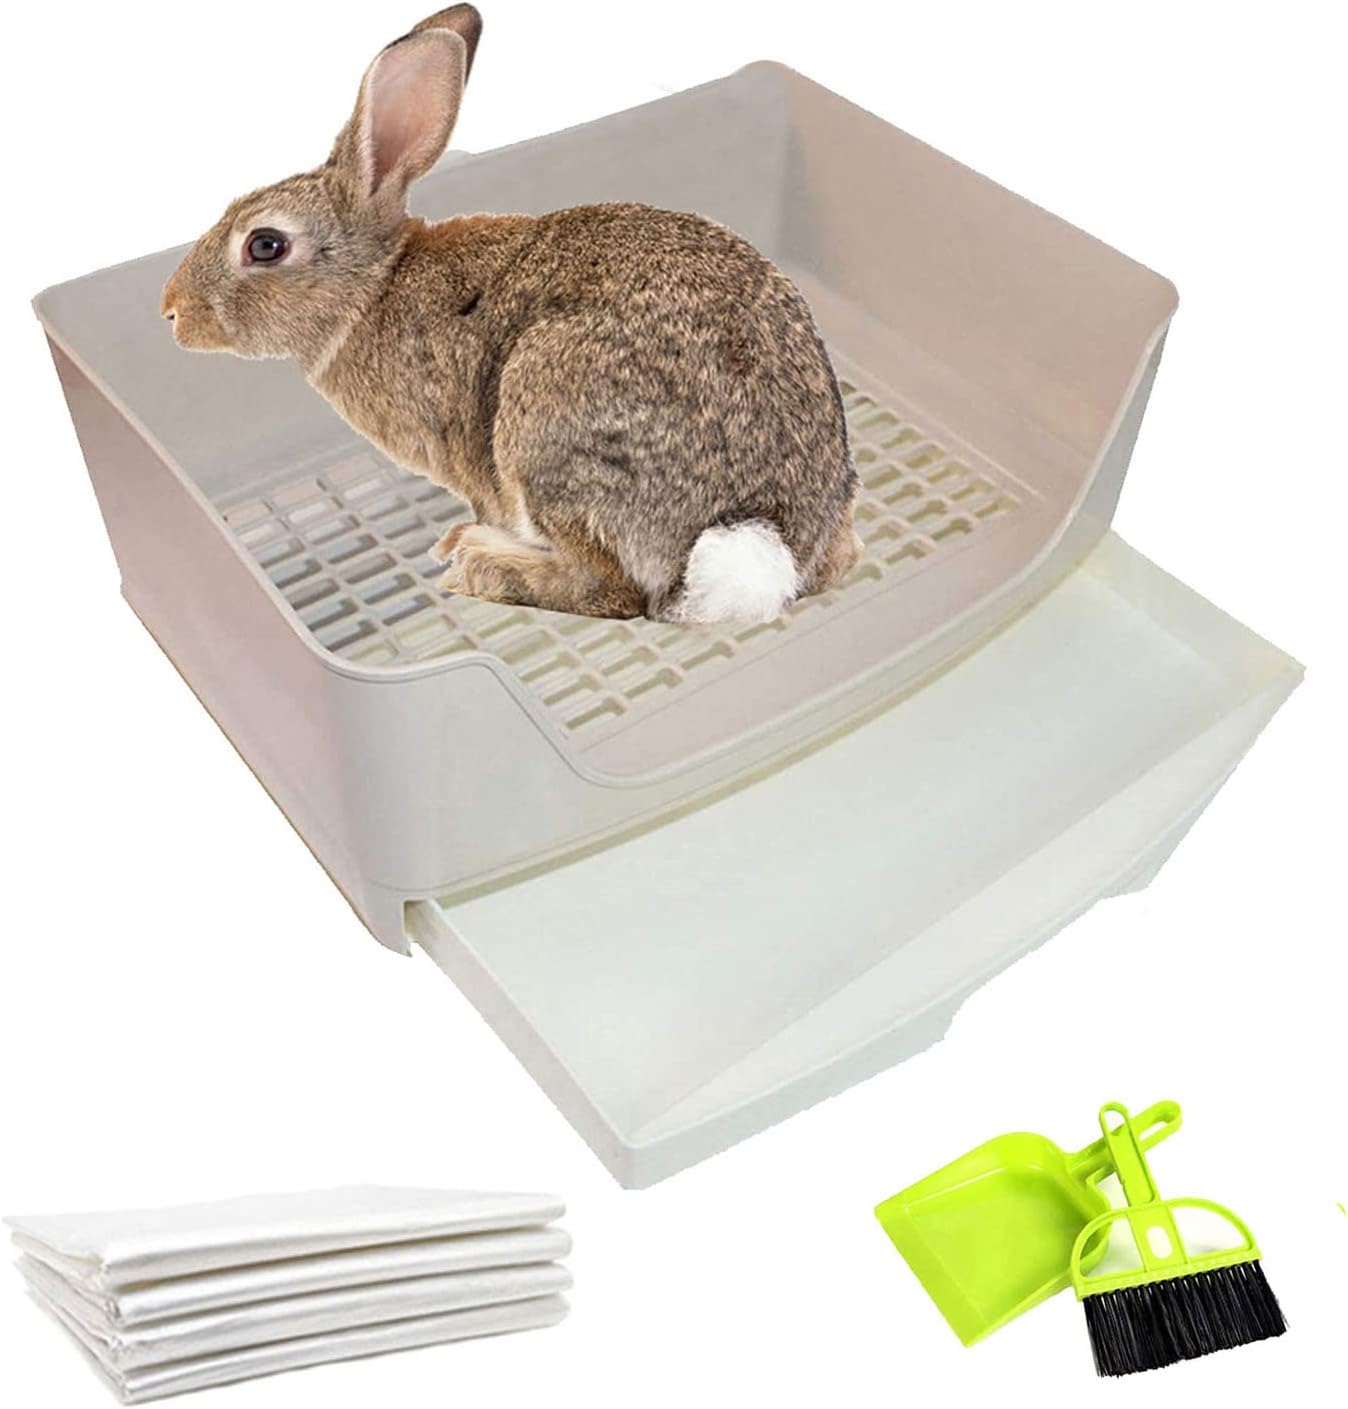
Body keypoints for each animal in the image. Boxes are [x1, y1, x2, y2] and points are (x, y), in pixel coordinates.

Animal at [162, 6, 861, 623]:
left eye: (265, 245)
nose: (171, 309)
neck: (374, 286)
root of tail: (757, 536)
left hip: (544, 422)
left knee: (611, 591)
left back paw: (479, 561)